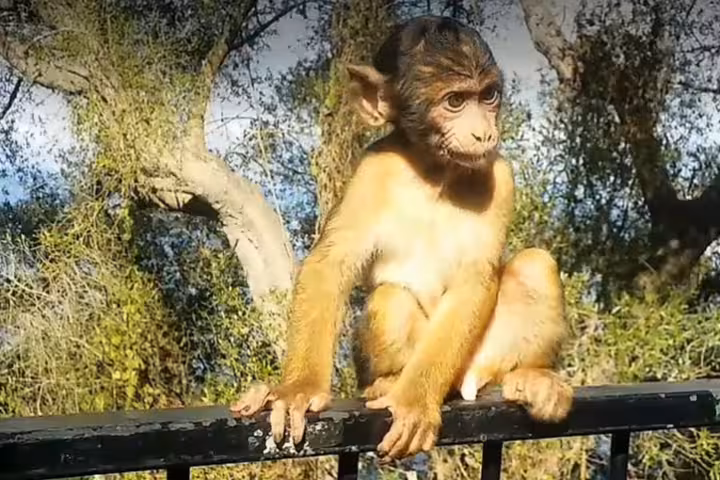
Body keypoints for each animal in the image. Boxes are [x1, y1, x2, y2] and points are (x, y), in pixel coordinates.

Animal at [231, 15, 573, 462]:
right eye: (455, 101)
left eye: (488, 95)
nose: (484, 134)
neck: (434, 171)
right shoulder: (372, 170)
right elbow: (331, 261)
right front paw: (298, 389)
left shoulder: (500, 177)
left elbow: (476, 278)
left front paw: (414, 402)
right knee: (391, 297)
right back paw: (389, 381)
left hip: (472, 362)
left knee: (535, 265)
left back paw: (532, 379)